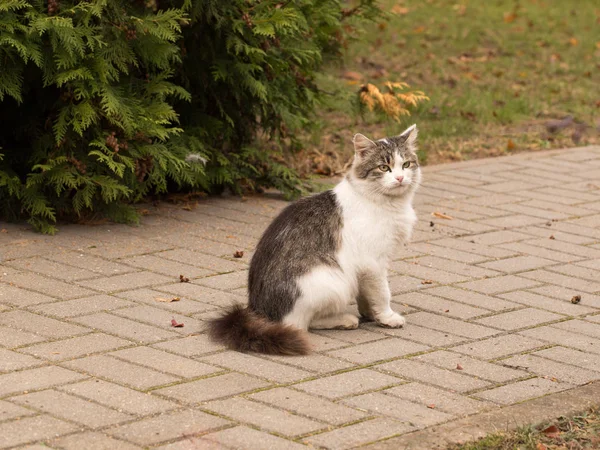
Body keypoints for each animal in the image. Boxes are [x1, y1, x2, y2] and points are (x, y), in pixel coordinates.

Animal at [207, 124, 422, 356]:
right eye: (384, 167)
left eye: (406, 164)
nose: (400, 178)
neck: (386, 203)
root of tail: (256, 311)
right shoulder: (373, 263)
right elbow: (382, 293)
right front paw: (387, 317)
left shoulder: (365, 269)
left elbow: (366, 295)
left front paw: (370, 313)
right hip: (334, 281)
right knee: (301, 323)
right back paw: (345, 320)